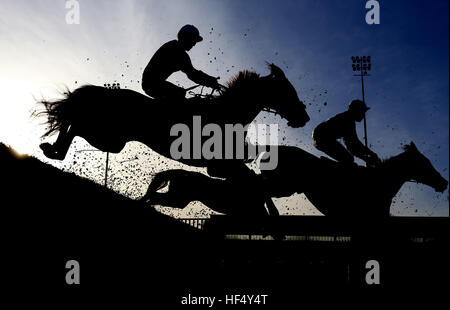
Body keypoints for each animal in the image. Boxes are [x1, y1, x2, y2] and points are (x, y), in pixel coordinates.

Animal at [36, 63, 310, 172]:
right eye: (287, 91)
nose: (304, 117)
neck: (226, 113)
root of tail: (104, 92)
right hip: (108, 137)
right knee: (74, 125)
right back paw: (53, 149)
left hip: (109, 139)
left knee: (72, 121)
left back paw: (52, 149)